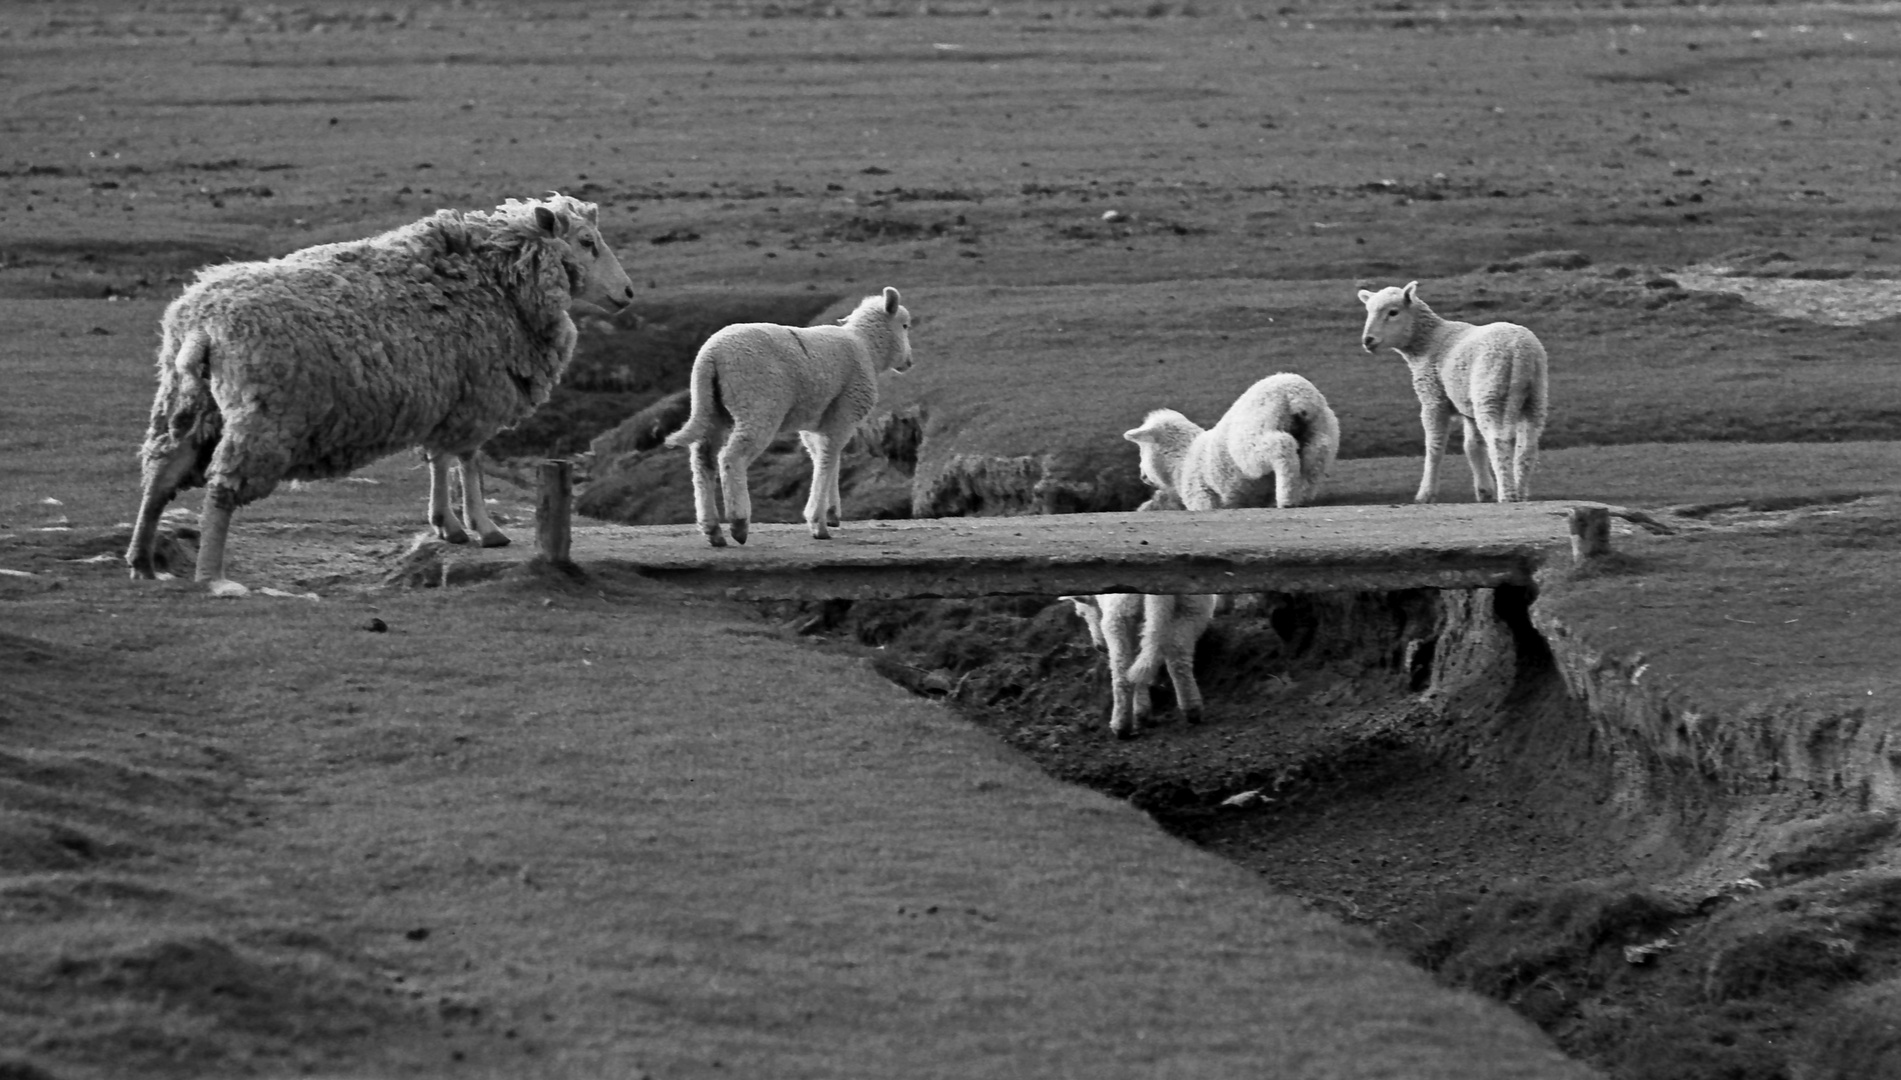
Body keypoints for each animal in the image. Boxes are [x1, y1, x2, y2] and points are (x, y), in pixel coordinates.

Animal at [126, 190, 634, 585]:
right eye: (587, 243)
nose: (628, 294)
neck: (498, 279)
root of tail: (202, 324)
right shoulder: (478, 396)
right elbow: (468, 462)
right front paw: (484, 528)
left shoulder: (448, 397)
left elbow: (439, 460)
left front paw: (446, 525)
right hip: (263, 417)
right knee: (220, 489)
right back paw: (211, 576)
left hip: (186, 402)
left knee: (161, 471)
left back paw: (142, 561)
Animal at [661, 285, 912, 543]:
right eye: (905, 325)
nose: (909, 361)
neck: (866, 348)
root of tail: (709, 356)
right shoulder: (845, 410)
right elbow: (828, 457)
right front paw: (817, 522)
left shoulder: (816, 421)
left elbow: (826, 458)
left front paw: (831, 513)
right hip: (758, 404)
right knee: (731, 458)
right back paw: (739, 523)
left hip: (713, 407)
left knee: (703, 460)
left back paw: (712, 529)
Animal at [1125, 370, 1338, 509]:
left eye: (1142, 449)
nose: (1142, 476)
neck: (1182, 459)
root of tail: (1296, 393)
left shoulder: (1201, 494)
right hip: (1322, 429)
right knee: (1317, 452)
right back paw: (1302, 495)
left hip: (1253, 437)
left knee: (1282, 446)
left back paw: (1287, 498)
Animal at [1353, 277, 1543, 501]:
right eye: (1368, 311)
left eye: (1393, 312)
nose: (1368, 341)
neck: (1428, 340)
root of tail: (1519, 352)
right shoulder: (1467, 406)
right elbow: (1473, 447)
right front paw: (1484, 491)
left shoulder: (1434, 398)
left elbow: (1434, 446)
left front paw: (1425, 494)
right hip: (1535, 395)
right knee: (1527, 444)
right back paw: (1520, 493)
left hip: (1490, 390)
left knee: (1500, 440)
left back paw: (1507, 494)